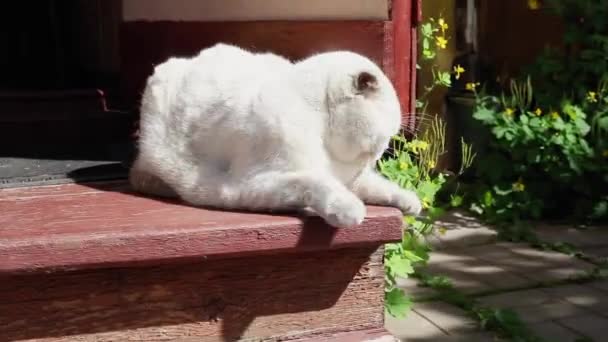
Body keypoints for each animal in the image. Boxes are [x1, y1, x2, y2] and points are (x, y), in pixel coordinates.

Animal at [130, 44, 420, 227]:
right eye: (385, 138)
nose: (378, 156)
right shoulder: (251, 184)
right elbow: (316, 183)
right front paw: (350, 210)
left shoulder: (350, 179)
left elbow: (381, 186)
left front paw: (411, 203)